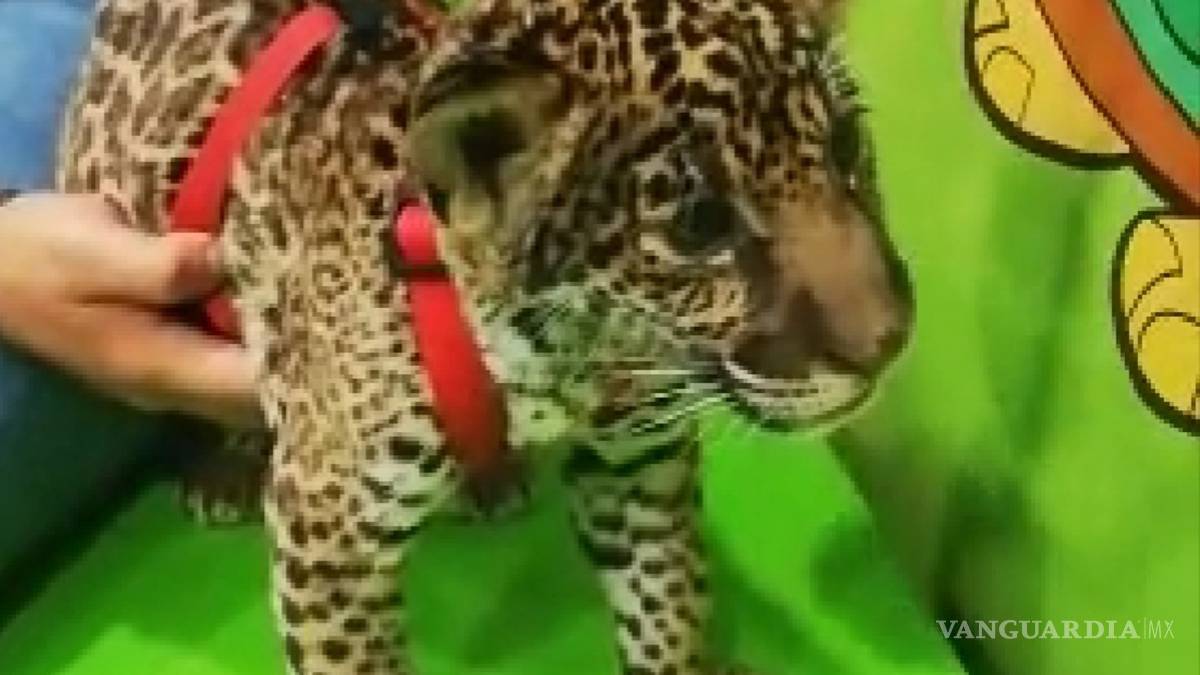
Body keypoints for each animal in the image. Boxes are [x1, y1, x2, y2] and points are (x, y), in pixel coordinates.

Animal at [56, 0, 913, 673]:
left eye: (845, 145)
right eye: (701, 225)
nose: (888, 341)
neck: (571, 355)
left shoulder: (635, 466)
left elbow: (667, 599)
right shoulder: (327, 534)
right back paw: (225, 465)